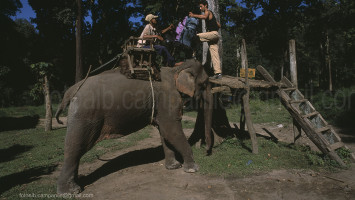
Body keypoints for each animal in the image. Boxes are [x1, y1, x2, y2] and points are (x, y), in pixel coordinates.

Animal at [54, 59, 213, 194]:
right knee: (75, 148)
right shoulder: (168, 98)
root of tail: (71, 90)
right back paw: (71, 191)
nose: (207, 151)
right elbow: (171, 130)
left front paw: (173, 167)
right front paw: (192, 169)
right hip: (84, 115)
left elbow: (164, 132)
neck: (176, 68)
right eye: (204, 83)